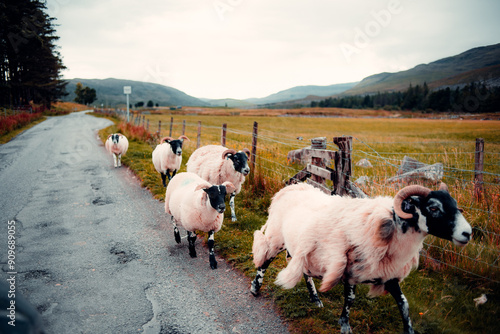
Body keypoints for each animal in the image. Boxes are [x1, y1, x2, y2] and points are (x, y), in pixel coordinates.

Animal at [252, 183, 470, 334]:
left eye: (455, 205)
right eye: (433, 208)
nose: (468, 233)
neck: (390, 228)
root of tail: (291, 187)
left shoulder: (389, 274)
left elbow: (404, 304)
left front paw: (409, 330)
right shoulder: (351, 269)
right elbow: (350, 299)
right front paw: (345, 326)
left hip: (305, 248)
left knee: (304, 271)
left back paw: (315, 299)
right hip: (277, 238)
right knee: (265, 261)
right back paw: (256, 288)